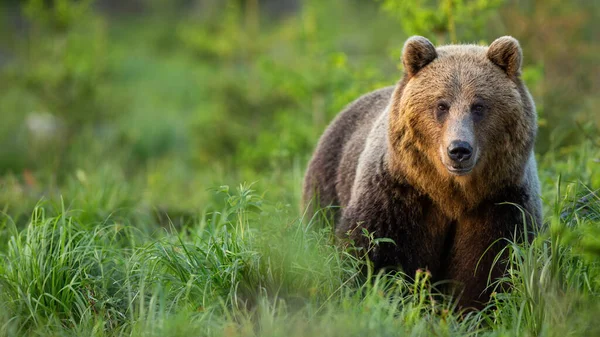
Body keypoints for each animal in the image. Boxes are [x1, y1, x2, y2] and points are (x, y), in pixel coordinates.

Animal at [302, 36, 540, 308]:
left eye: (479, 106)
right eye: (441, 105)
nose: (459, 149)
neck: (451, 193)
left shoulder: (500, 201)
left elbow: (492, 264)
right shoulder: (398, 194)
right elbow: (372, 250)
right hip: (328, 179)